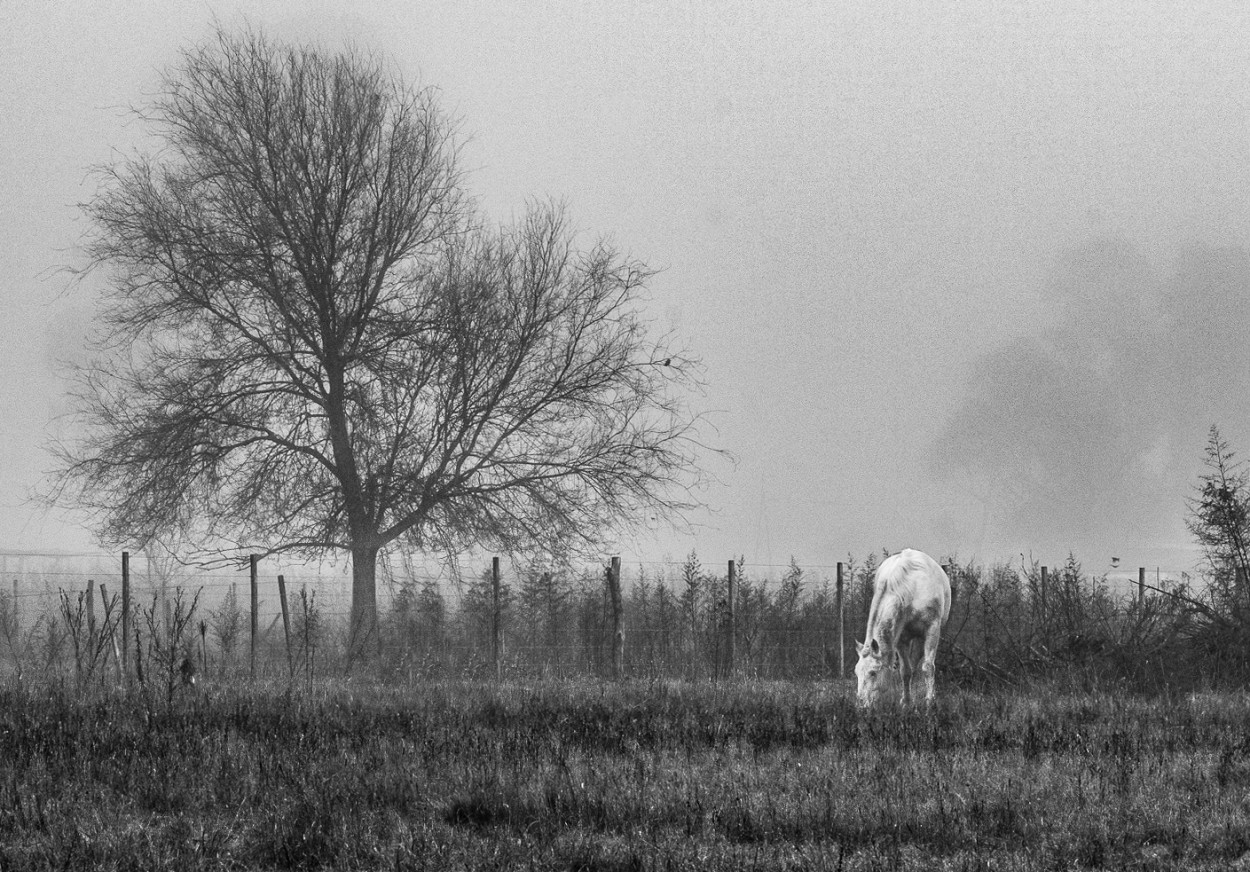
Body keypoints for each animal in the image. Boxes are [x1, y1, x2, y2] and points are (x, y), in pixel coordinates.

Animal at [855, 549, 950, 704]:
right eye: (856, 672)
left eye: (873, 673)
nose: (861, 703)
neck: (910, 591)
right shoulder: (901, 637)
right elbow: (905, 670)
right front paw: (906, 702)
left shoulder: (932, 630)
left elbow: (928, 667)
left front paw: (930, 701)